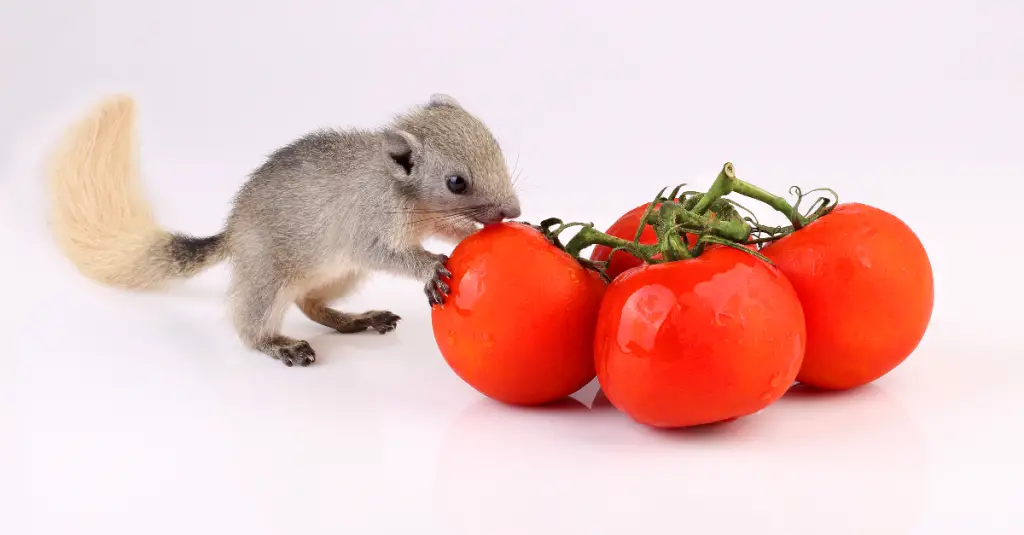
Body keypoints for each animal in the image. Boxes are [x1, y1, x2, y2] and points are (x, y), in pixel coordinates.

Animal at [45, 93, 521, 367]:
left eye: (496, 146)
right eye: (456, 182)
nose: (514, 209)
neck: (400, 188)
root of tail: (233, 233)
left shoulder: (425, 219)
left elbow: (447, 227)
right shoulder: (369, 222)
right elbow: (384, 252)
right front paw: (430, 267)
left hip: (339, 275)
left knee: (309, 303)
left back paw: (356, 320)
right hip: (269, 276)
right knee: (251, 325)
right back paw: (280, 345)